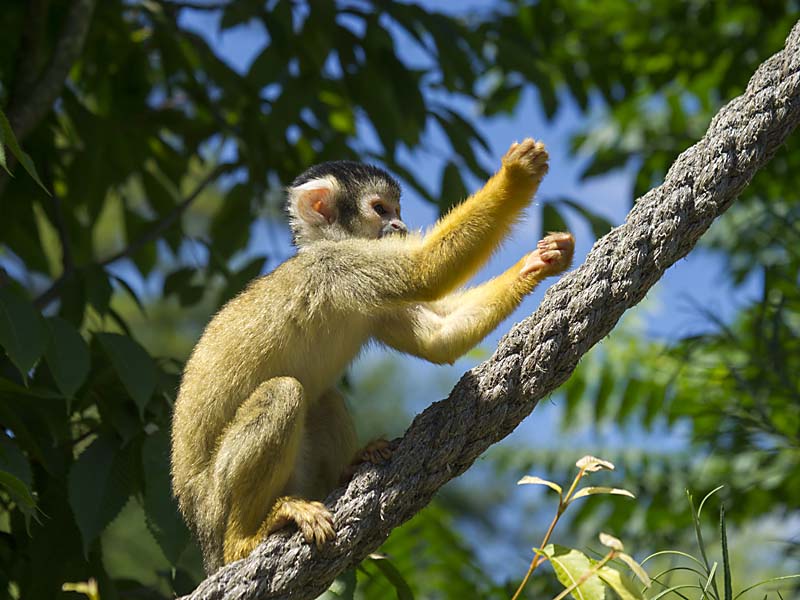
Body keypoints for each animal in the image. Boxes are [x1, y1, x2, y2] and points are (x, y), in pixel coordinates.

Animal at [170, 137, 576, 572]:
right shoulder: (337, 265)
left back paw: (348, 467)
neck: (326, 243)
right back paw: (245, 540)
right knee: (283, 393)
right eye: (381, 209)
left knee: (321, 399)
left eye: (397, 212)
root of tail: (204, 544)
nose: (399, 227)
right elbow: (423, 271)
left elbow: (438, 338)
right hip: (215, 504)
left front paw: (543, 260)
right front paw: (516, 175)